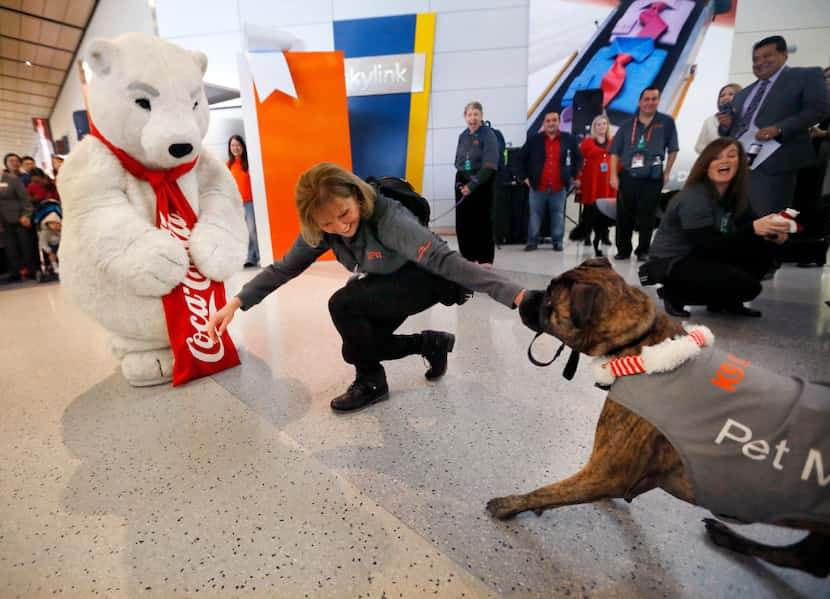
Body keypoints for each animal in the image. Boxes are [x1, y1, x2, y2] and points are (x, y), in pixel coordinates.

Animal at [488, 260, 830, 580]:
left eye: (549, 302)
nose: (525, 296)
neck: (640, 341)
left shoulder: (607, 472)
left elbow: (549, 490)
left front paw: (510, 503)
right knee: (805, 560)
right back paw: (731, 538)